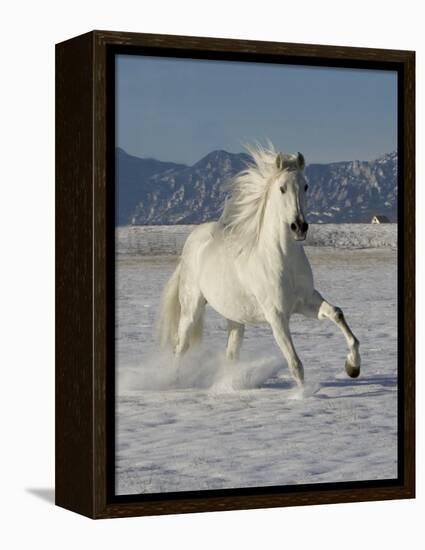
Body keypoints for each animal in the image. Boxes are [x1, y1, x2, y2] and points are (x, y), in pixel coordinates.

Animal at [157, 147, 360, 388]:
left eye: (305, 186)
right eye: (282, 188)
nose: (299, 227)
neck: (283, 259)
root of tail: (193, 240)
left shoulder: (307, 302)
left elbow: (337, 314)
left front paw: (353, 367)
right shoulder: (277, 316)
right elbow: (295, 364)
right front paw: (303, 394)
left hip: (234, 316)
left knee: (231, 353)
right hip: (192, 308)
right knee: (181, 345)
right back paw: (175, 381)